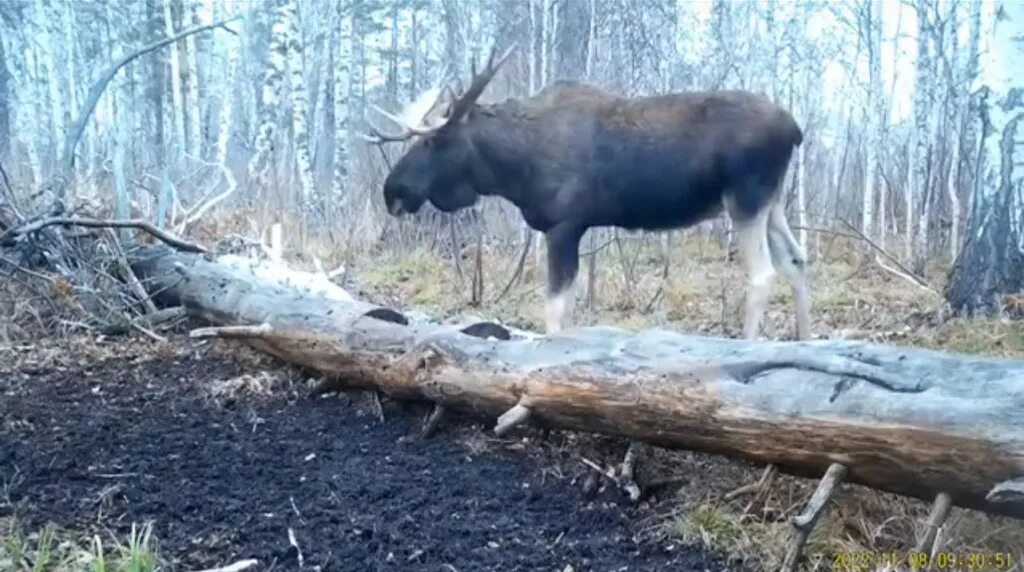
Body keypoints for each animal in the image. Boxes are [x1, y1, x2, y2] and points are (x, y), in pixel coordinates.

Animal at [364, 48, 811, 339]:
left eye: (433, 141)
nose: (392, 191)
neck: (512, 170)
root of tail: (796, 130)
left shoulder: (564, 225)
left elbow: (555, 309)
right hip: (771, 202)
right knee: (797, 260)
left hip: (745, 198)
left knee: (763, 274)